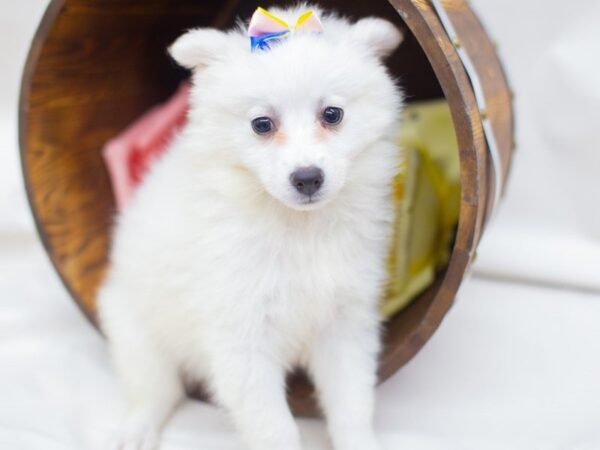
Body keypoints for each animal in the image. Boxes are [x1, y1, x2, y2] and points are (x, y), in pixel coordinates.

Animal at [99, 4, 404, 450]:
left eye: (332, 115)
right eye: (262, 124)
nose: (307, 178)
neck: (299, 227)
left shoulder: (343, 325)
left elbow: (351, 405)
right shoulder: (240, 338)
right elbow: (274, 426)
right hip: (137, 332)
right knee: (156, 392)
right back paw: (134, 431)